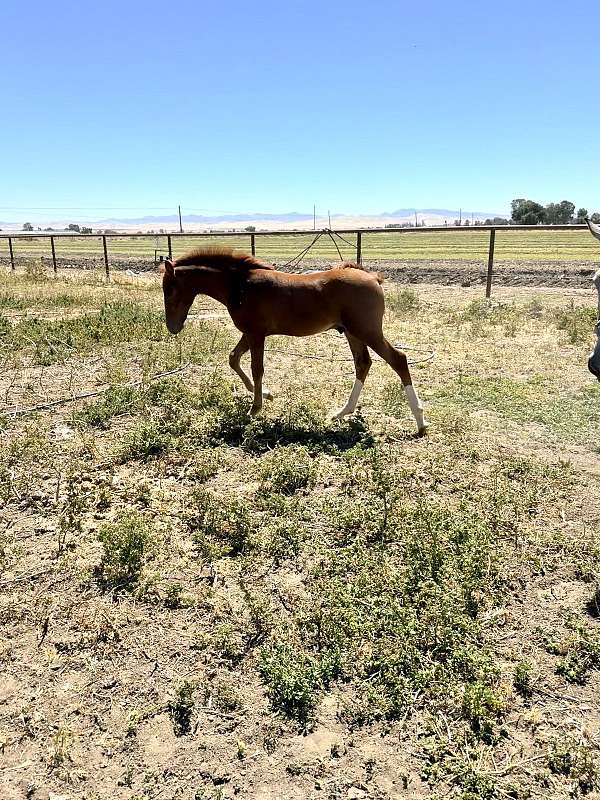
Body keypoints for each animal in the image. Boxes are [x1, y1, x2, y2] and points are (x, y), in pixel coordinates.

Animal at [161, 248, 428, 434]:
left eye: (170, 289)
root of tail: (373, 278)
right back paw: (342, 412)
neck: (240, 285)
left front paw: (255, 408)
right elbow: (233, 359)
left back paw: (420, 421)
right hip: (352, 333)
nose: (172, 328)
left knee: (398, 359)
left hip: (367, 331)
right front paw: (266, 395)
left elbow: (256, 368)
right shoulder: (249, 333)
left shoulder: (256, 334)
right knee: (363, 363)